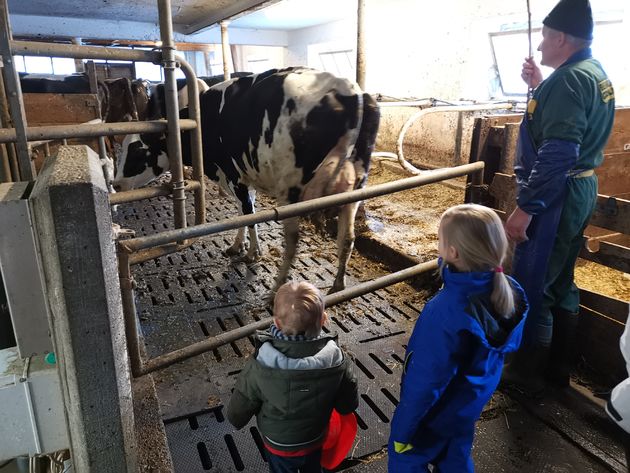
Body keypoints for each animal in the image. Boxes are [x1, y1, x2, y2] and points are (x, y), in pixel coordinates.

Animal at [113, 66, 380, 292]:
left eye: (139, 151)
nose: (116, 184)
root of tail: (349, 90)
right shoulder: (243, 177)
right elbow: (242, 213)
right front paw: (238, 246)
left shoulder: (234, 176)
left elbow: (249, 215)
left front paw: (253, 253)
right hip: (354, 190)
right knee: (347, 237)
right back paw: (338, 285)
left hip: (292, 189)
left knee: (293, 240)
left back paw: (277, 288)